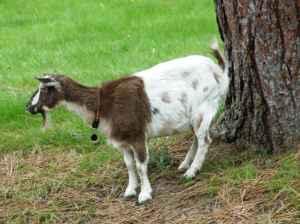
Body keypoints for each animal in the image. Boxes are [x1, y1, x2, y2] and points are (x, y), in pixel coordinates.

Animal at [26, 42, 227, 205]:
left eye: (45, 89)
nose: (28, 107)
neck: (103, 104)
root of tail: (218, 72)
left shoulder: (137, 135)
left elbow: (140, 165)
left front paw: (145, 194)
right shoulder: (122, 141)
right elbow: (129, 164)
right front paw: (130, 190)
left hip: (204, 107)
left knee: (205, 139)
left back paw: (191, 172)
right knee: (197, 137)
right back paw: (185, 165)